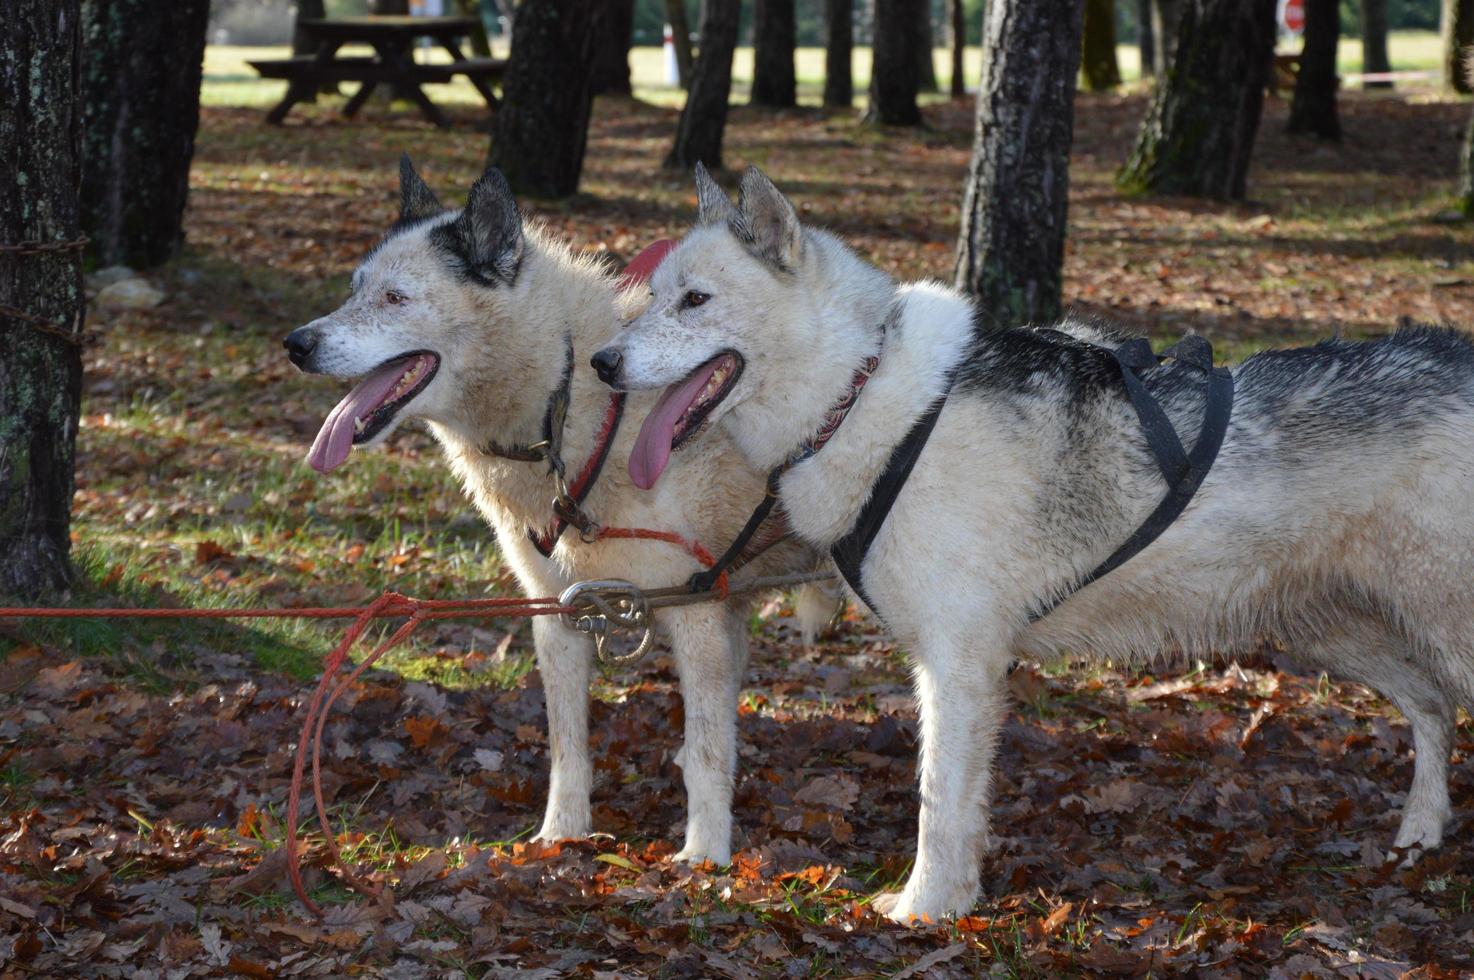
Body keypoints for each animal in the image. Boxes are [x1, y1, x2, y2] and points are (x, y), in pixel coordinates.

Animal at [280, 162, 825, 872]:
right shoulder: (558, 614)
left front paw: (705, 857)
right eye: (354, 292)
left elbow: (709, 751)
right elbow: (569, 746)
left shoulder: (697, 613)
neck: (571, 411)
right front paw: (561, 834)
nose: (296, 343)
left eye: (395, 298)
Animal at [592, 164, 1474, 919]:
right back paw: (1420, 832)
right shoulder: (953, 667)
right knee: (1434, 710)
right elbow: (956, 805)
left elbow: (936, 803)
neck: (863, 390)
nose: (601, 362)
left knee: (1441, 704)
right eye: (652, 297)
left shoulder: (959, 665)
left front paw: (923, 910)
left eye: (695, 300)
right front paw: (952, 901)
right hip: (1335, 633)